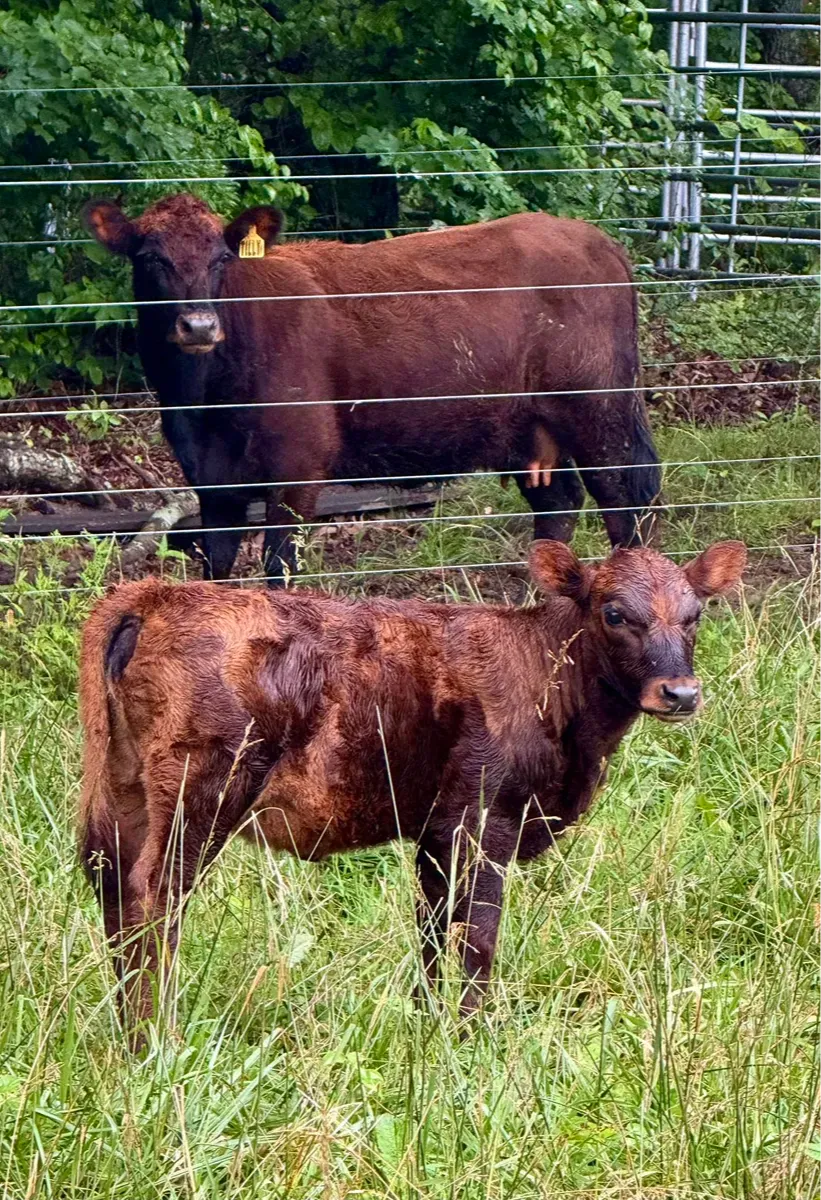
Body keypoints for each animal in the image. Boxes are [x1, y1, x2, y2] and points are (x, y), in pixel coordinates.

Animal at [79, 538, 746, 1041]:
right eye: (613, 612)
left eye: (696, 614)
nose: (680, 693)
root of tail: (154, 594)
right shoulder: (485, 822)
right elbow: (477, 937)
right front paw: (473, 1036)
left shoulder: (434, 830)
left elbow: (431, 930)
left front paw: (427, 1023)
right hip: (202, 789)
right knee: (155, 897)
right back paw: (155, 1038)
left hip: (123, 789)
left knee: (112, 887)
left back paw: (126, 1031)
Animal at [83, 194, 662, 584]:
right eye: (149, 258)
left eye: (222, 258)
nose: (200, 326)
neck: (204, 400)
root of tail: (596, 239)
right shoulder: (210, 479)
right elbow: (217, 570)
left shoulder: (297, 471)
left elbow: (278, 568)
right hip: (528, 428)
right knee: (558, 504)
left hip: (599, 413)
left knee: (626, 500)